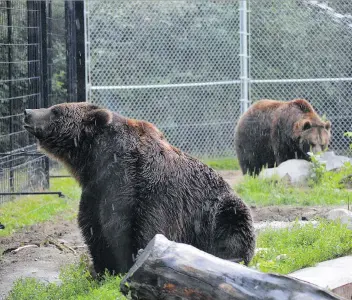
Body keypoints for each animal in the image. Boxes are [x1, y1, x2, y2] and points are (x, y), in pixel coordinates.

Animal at [24, 102, 256, 276]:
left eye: (56, 111)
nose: (27, 112)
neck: (98, 161)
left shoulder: (143, 188)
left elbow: (142, 227)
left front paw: (137, 262)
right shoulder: (96, 189)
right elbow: (94, 227)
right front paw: (102, 270)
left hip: (217, 212)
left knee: (234, 223)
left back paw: (230, 257)